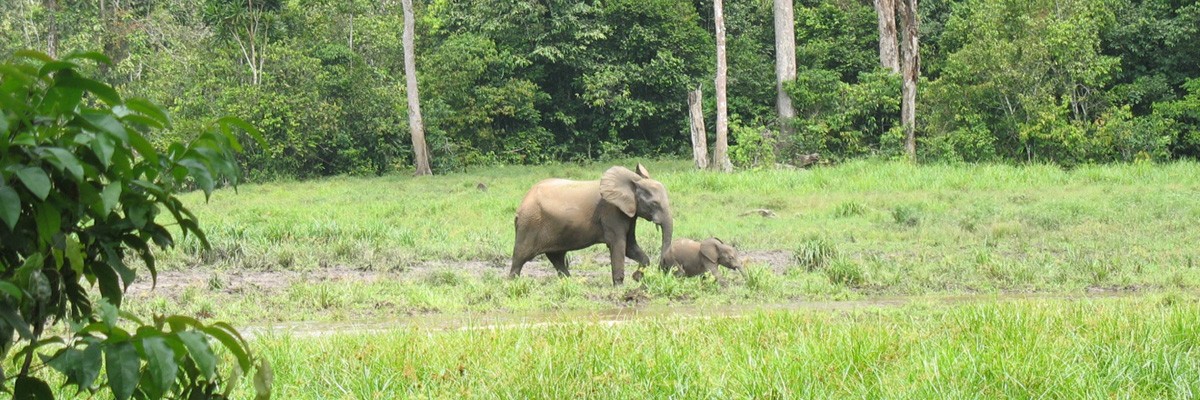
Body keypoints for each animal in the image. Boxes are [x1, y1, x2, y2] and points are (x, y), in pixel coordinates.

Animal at [508, 163, 672, 284]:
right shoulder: (611, 212)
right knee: (520, 257)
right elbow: (619, 245)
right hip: (529, 223)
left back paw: (570, 282)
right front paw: (620, 286)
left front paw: (637, 277)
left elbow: (630, 246)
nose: (663, 270)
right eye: (654, 203)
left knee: (556, 256)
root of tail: (522, 203)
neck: (632, 182)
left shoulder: (628, 213)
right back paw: (512, 284)